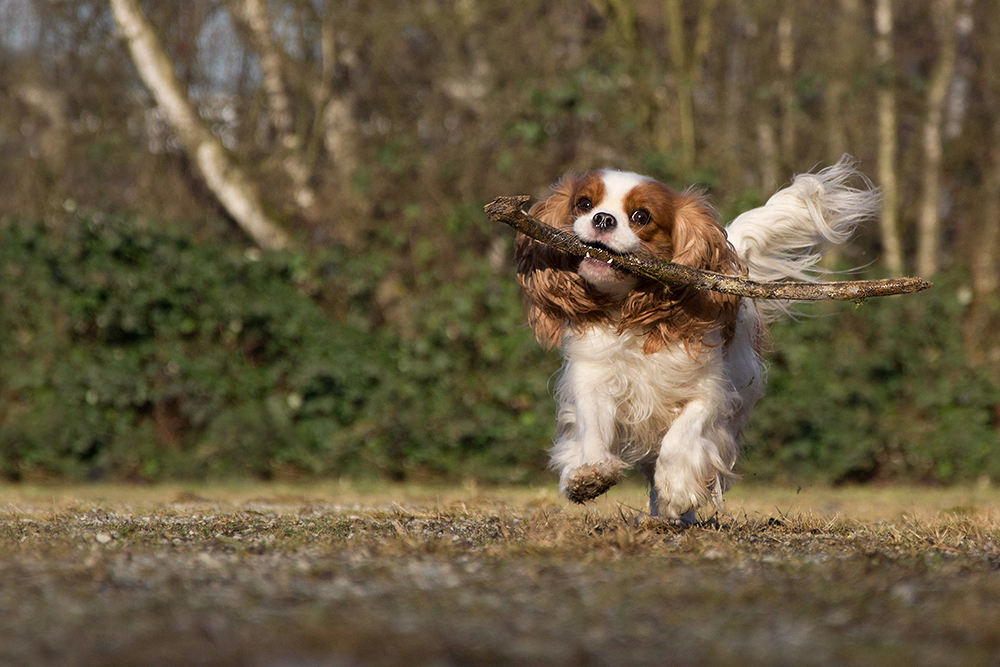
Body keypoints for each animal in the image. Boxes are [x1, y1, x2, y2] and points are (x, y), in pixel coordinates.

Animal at [516, 158, 876, 520]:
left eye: (641, 217)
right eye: (584, 204)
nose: (602, 219)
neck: (630, 313)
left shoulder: (710, 391)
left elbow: (683, 435)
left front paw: (677, 489)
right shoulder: (594, 377)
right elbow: (593, 426)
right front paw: (589, 473)